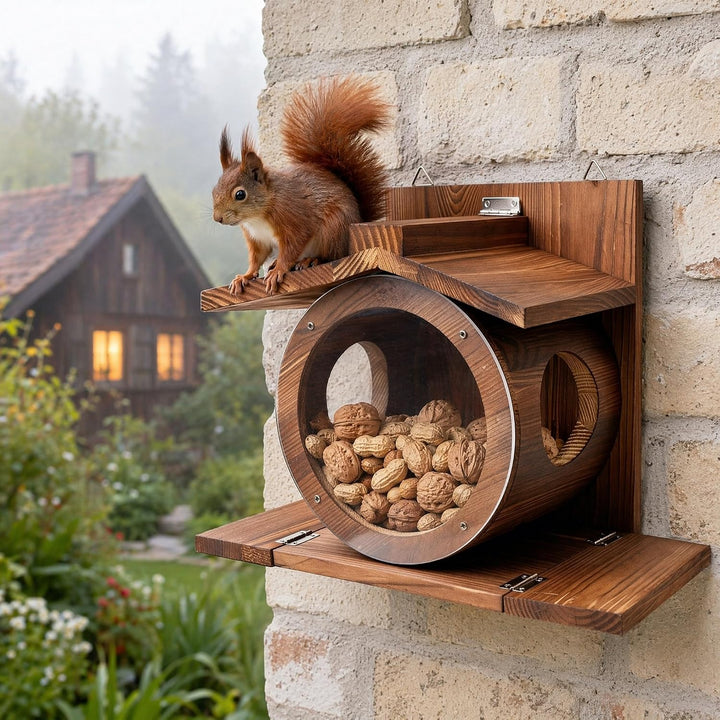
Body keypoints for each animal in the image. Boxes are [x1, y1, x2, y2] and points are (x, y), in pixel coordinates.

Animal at [212, 76, 391, 295]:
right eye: (214, 190)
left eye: (240, 194)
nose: (217, 218)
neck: (257, 216)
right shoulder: (257, 239)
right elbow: (256, 259)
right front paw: (244, 276)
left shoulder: (293, 219)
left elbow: (292, 247)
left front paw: (278, 270)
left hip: (333, 229)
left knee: (331, 255)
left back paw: (309, 260)